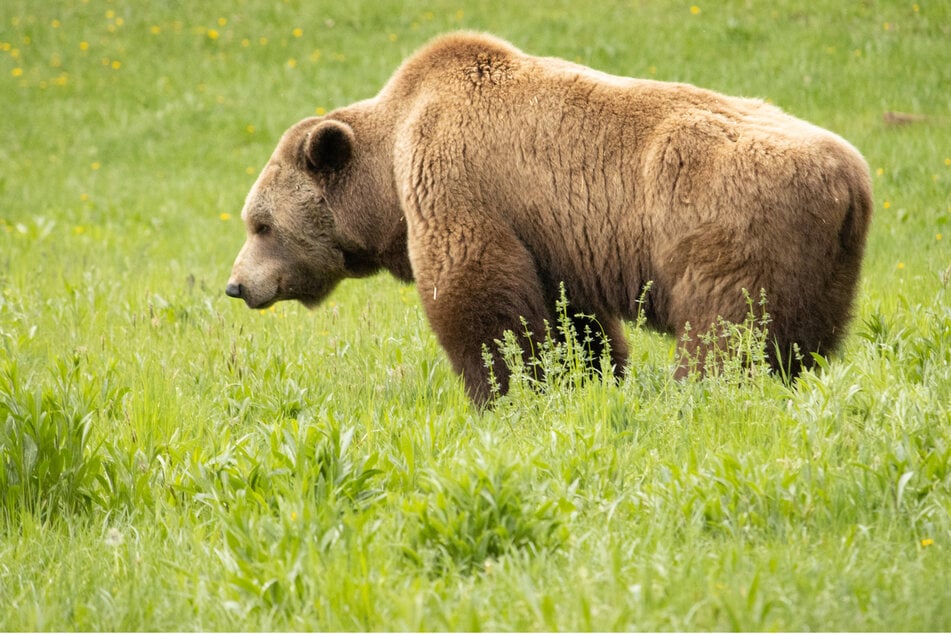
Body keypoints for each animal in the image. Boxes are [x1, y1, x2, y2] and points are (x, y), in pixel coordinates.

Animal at [223, 29, 872, 402]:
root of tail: (852, 179)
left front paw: (502, 390)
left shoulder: (458, 180)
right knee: (802, 341)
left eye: (261, 224)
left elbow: (478, 295)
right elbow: (571, 316)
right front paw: (587, 377)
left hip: (729, 227)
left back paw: (703, 393)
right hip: (824, 268)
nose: (236, 285)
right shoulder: (554, 235)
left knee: (726, 330)